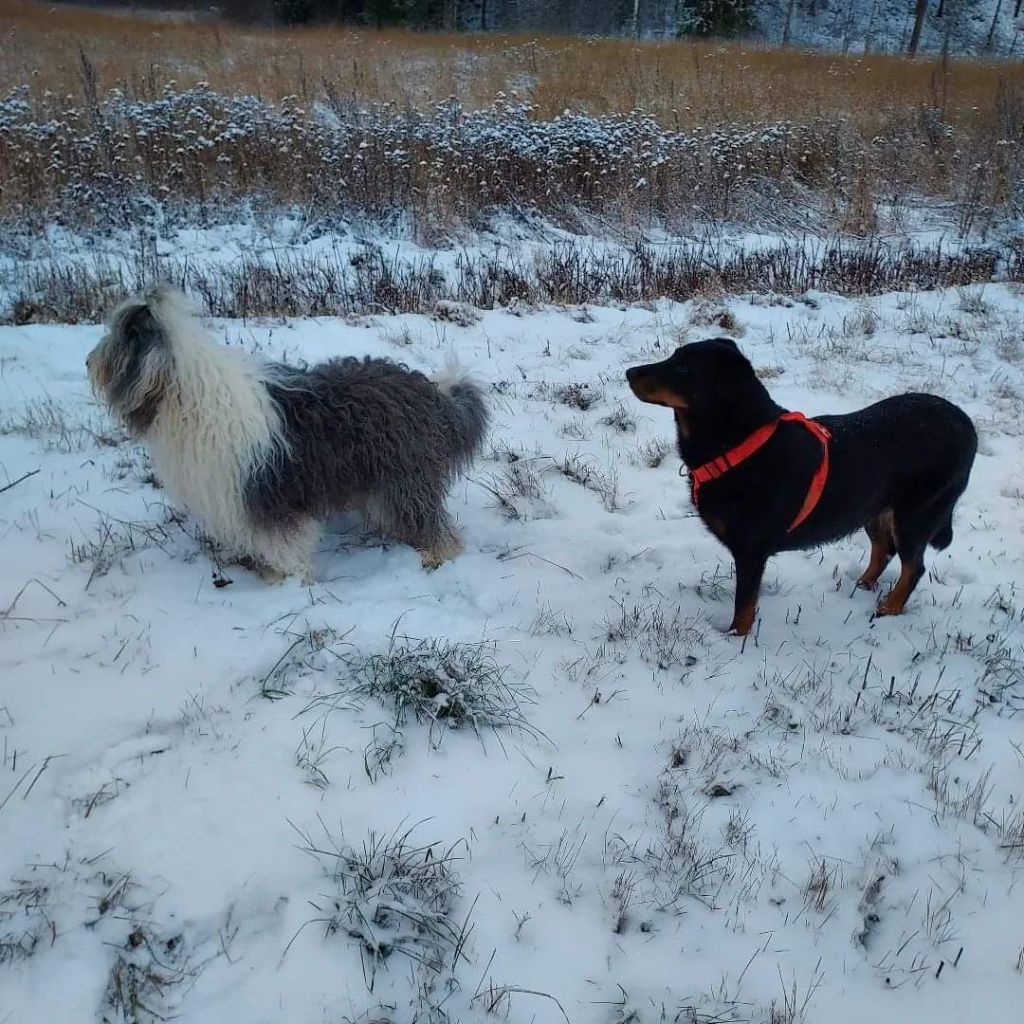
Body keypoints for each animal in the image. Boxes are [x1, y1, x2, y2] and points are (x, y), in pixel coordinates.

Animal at [87, 284, 487, 581]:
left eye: (119, 336)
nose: (88, 361)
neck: (187, 395)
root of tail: (431, 393)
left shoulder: (263, 497)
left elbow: (284, 546)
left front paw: (286, 580)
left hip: (404, 477)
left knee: (428, 522)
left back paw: (435, 554)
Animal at [622, 339, 974, 634]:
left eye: (684, 368)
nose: (629, 372)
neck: (739, 442)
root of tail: (967, 424)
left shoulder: (751, 550)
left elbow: (744, 605)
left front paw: (735, 638)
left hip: (919, 512)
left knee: (914, 567)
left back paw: (889, 609)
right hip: (873, 508)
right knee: (883, 549)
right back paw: (862, 585)